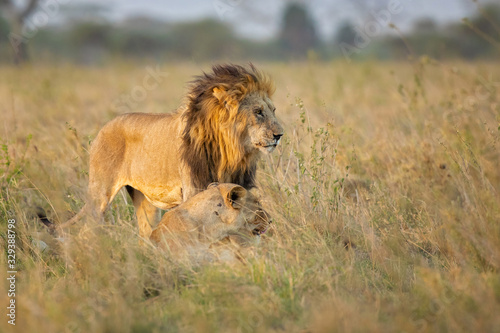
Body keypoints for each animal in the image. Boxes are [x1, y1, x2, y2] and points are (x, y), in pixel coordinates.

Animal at [61, 64, 284, 236]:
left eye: (273, 110)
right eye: (258, 112)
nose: (279, 135)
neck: (231, 152)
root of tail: (102, 129)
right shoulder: (195, 190)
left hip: (145, 202)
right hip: (100, 194)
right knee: (86, 231)